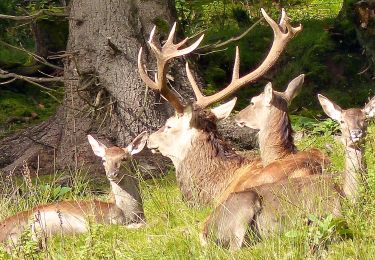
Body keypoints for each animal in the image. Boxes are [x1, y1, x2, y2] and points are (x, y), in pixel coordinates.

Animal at [203, 94, 375, 250]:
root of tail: (208, 228)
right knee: (236, 249)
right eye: (342, 121)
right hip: (242, 208)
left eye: (365, 119)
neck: (349, 196)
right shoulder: (327, 215)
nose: (356, 132)